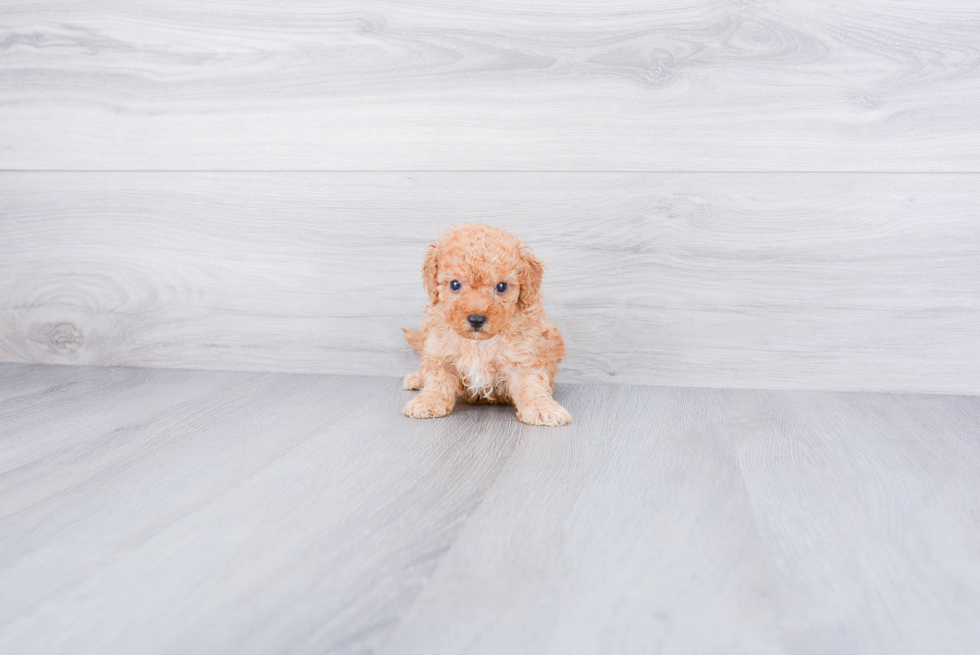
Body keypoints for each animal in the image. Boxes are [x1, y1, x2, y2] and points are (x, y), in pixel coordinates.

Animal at [402, 222, 572, 426]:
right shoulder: (440, 351)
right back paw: (416, 379)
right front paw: (428, 401)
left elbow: (531, 384)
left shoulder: (522, 357)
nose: (476, 319)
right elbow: (437, 380)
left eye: (501, 286)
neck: (478, 343)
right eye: (455, 284)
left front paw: (542, 408)